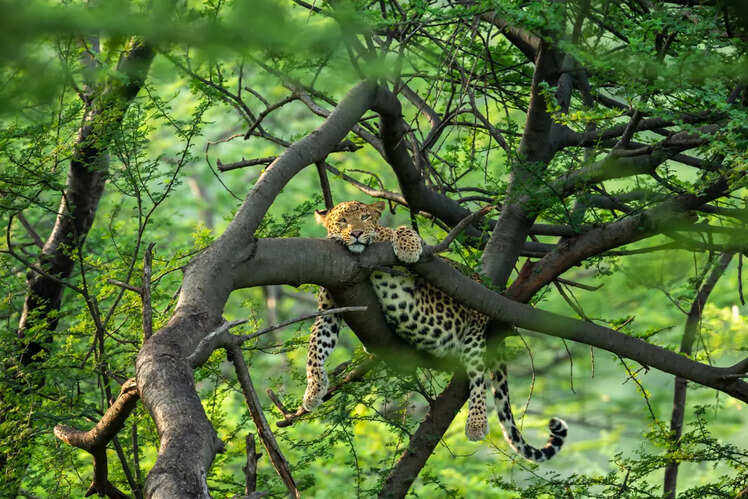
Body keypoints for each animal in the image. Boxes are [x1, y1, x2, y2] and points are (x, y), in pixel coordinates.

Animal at [303, 200, 567, 462]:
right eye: (342, 221)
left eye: (366, 218)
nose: (356, 233)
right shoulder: (328, 310)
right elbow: (314, 351)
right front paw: (313, 391)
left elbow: (399, 230)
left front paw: (408, 246)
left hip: (474, 331)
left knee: (478, 378)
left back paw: (476, 423)